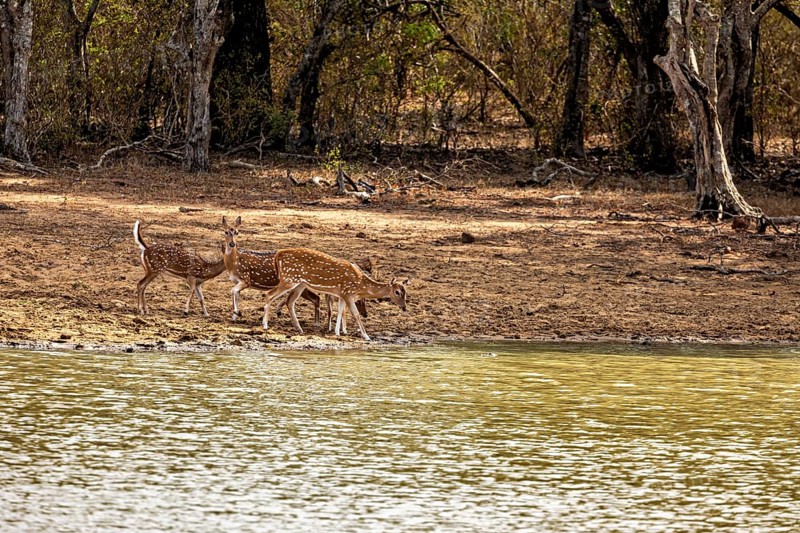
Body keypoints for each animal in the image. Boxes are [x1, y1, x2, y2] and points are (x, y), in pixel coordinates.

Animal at [262, 247, 410, 341]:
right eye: (397, 292)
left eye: (405, 293)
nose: (404, 307)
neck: (360, 286)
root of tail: (278, 255)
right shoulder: (348, 293)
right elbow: (355, 314)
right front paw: (366, 336)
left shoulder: (342, 294)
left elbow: (340, 311)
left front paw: (338, 332)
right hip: (288, 279)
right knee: (269, 294)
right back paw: (265, 325)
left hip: (299, 284)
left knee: (290, 301)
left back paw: (299, 329)